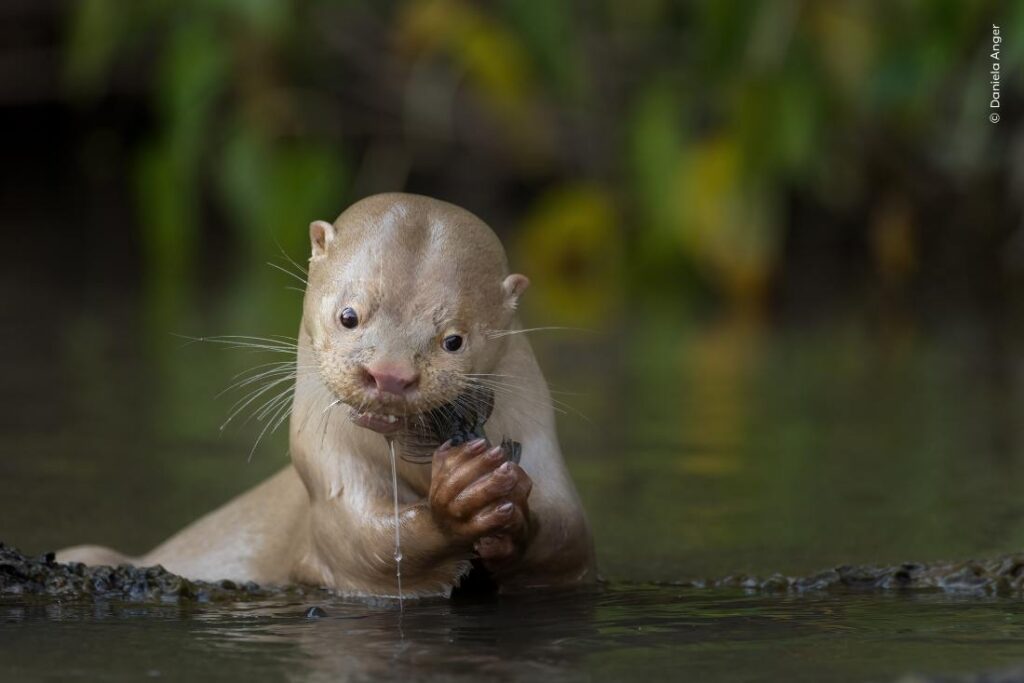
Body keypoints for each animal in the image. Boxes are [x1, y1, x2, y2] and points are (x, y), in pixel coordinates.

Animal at [58, 193, 597, 597]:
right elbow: (363, 543)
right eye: (349, 315)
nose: (389, 374)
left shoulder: (541, 449)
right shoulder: (327, 472)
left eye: (454, 340)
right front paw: (462, 496)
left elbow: (567, 537)